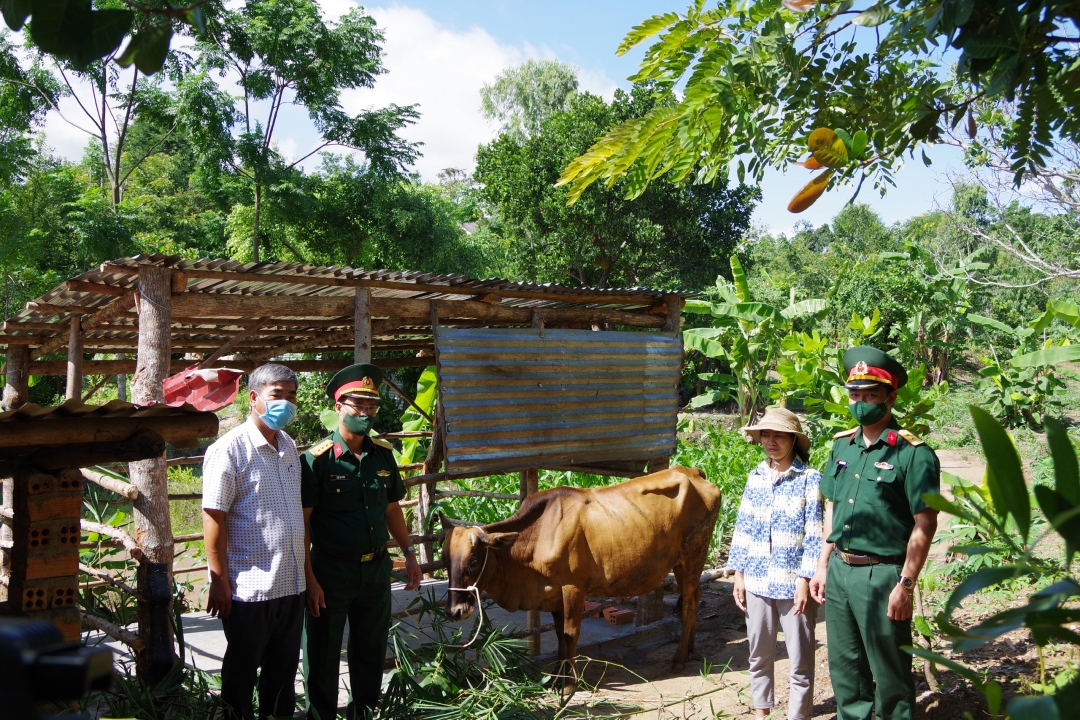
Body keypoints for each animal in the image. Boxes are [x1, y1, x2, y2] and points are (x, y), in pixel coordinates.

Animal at [438, 464, 717, 673]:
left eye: (473, 561)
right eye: (444, 561)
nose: (454, 611)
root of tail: (692, 472)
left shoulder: (573, 587)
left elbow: (571, 634)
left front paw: (567, 685)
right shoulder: (553, 594)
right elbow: (560, 635)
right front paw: (555, 677)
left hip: (694, 553)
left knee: (690, 600)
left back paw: (680, 658)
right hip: (681, 562)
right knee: (696, 595)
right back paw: (690, 648)